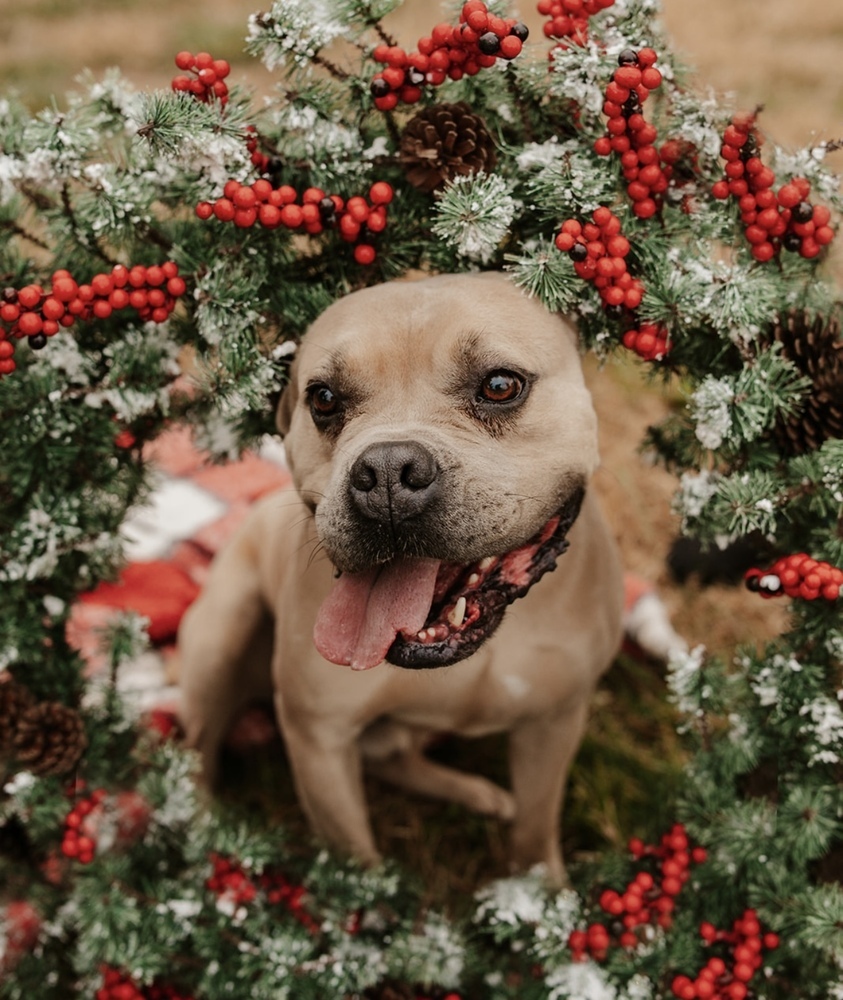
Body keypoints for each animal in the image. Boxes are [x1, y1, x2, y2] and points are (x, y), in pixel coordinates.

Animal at [178, 274, 624, 884]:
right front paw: (373, 902)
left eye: (500, 385)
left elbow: (535, 828)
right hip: (221, 638)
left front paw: (542, 897)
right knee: (198, 753)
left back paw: (476, 793)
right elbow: (354, 858)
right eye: (323, 399)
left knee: (395, 755)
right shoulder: (319, 737)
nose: (387, 472)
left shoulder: (555, 721)